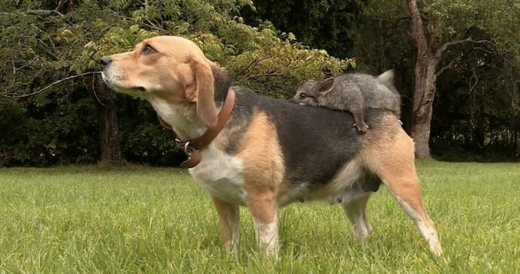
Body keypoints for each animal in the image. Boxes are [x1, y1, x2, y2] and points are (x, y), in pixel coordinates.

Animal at [99, 35, 440, 256]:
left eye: (148, 50)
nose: (102, 61)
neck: (220, 122)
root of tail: (387, 113)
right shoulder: (222, 201)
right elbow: (230, 243)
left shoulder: (262, 201)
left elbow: (266, 247)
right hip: (352, 198)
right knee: (364, 230)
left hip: (403, 185)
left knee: (428, 225)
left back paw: (437, 257)